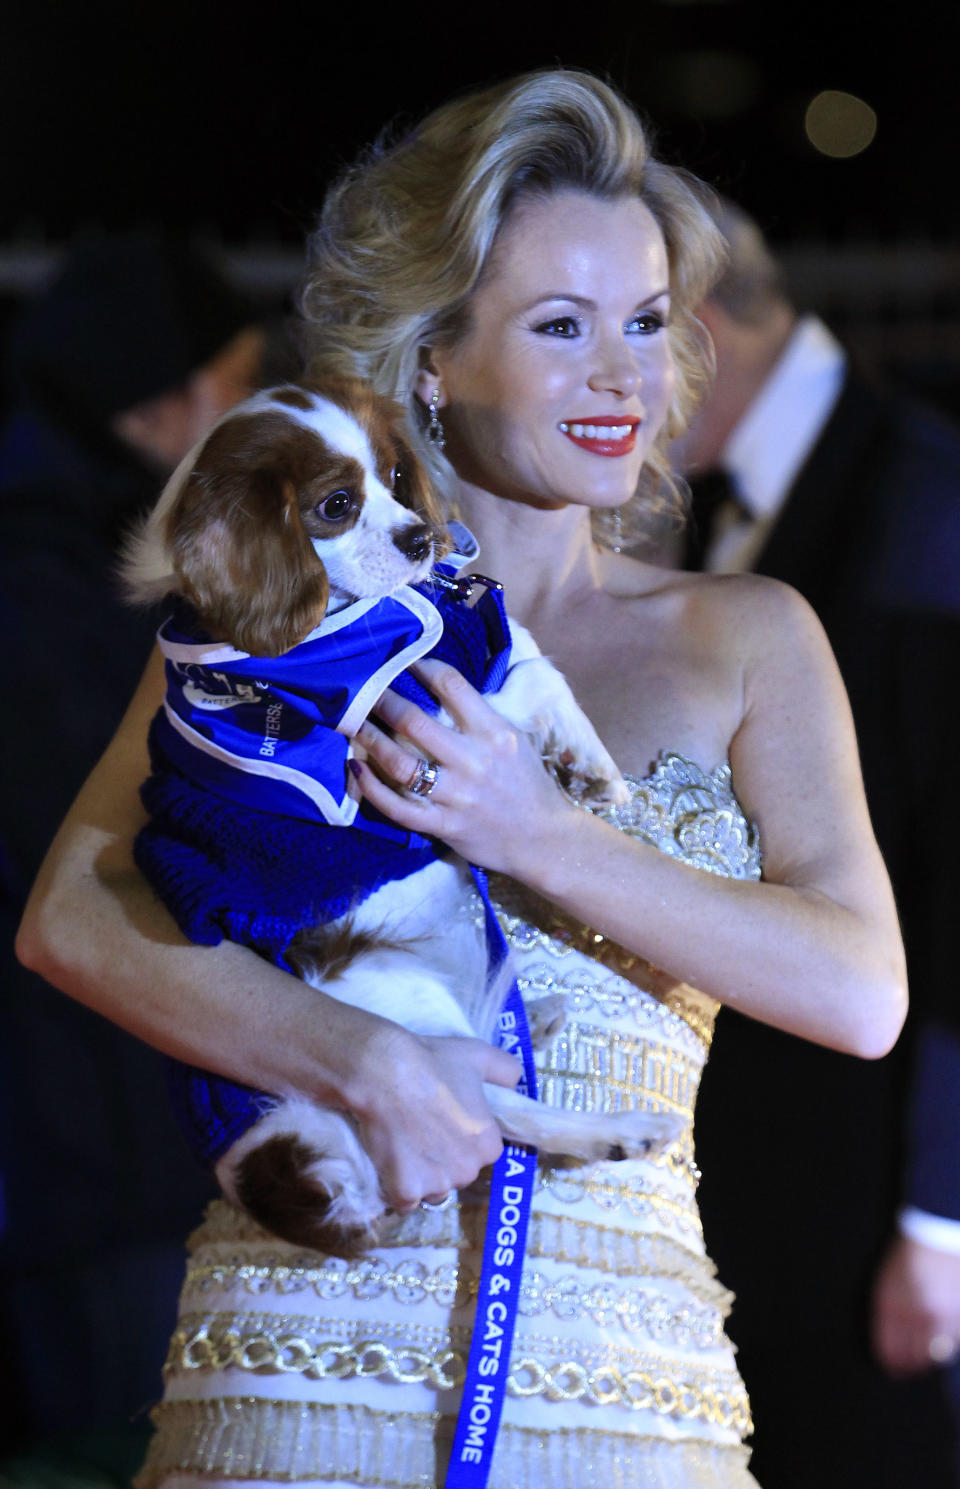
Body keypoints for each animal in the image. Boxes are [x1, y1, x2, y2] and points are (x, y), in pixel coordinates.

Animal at [125, 384, 681, 1256]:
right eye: (336, 505)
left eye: (395, 475)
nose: (422, 538)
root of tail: (283, 1172)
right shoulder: (408, 733)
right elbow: (526, 679)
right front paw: (579, 766)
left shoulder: (475, 640)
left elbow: (532, 655)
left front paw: (592, 767)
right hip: (404, 1015)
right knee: (501, 1111)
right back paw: (616, 1128)